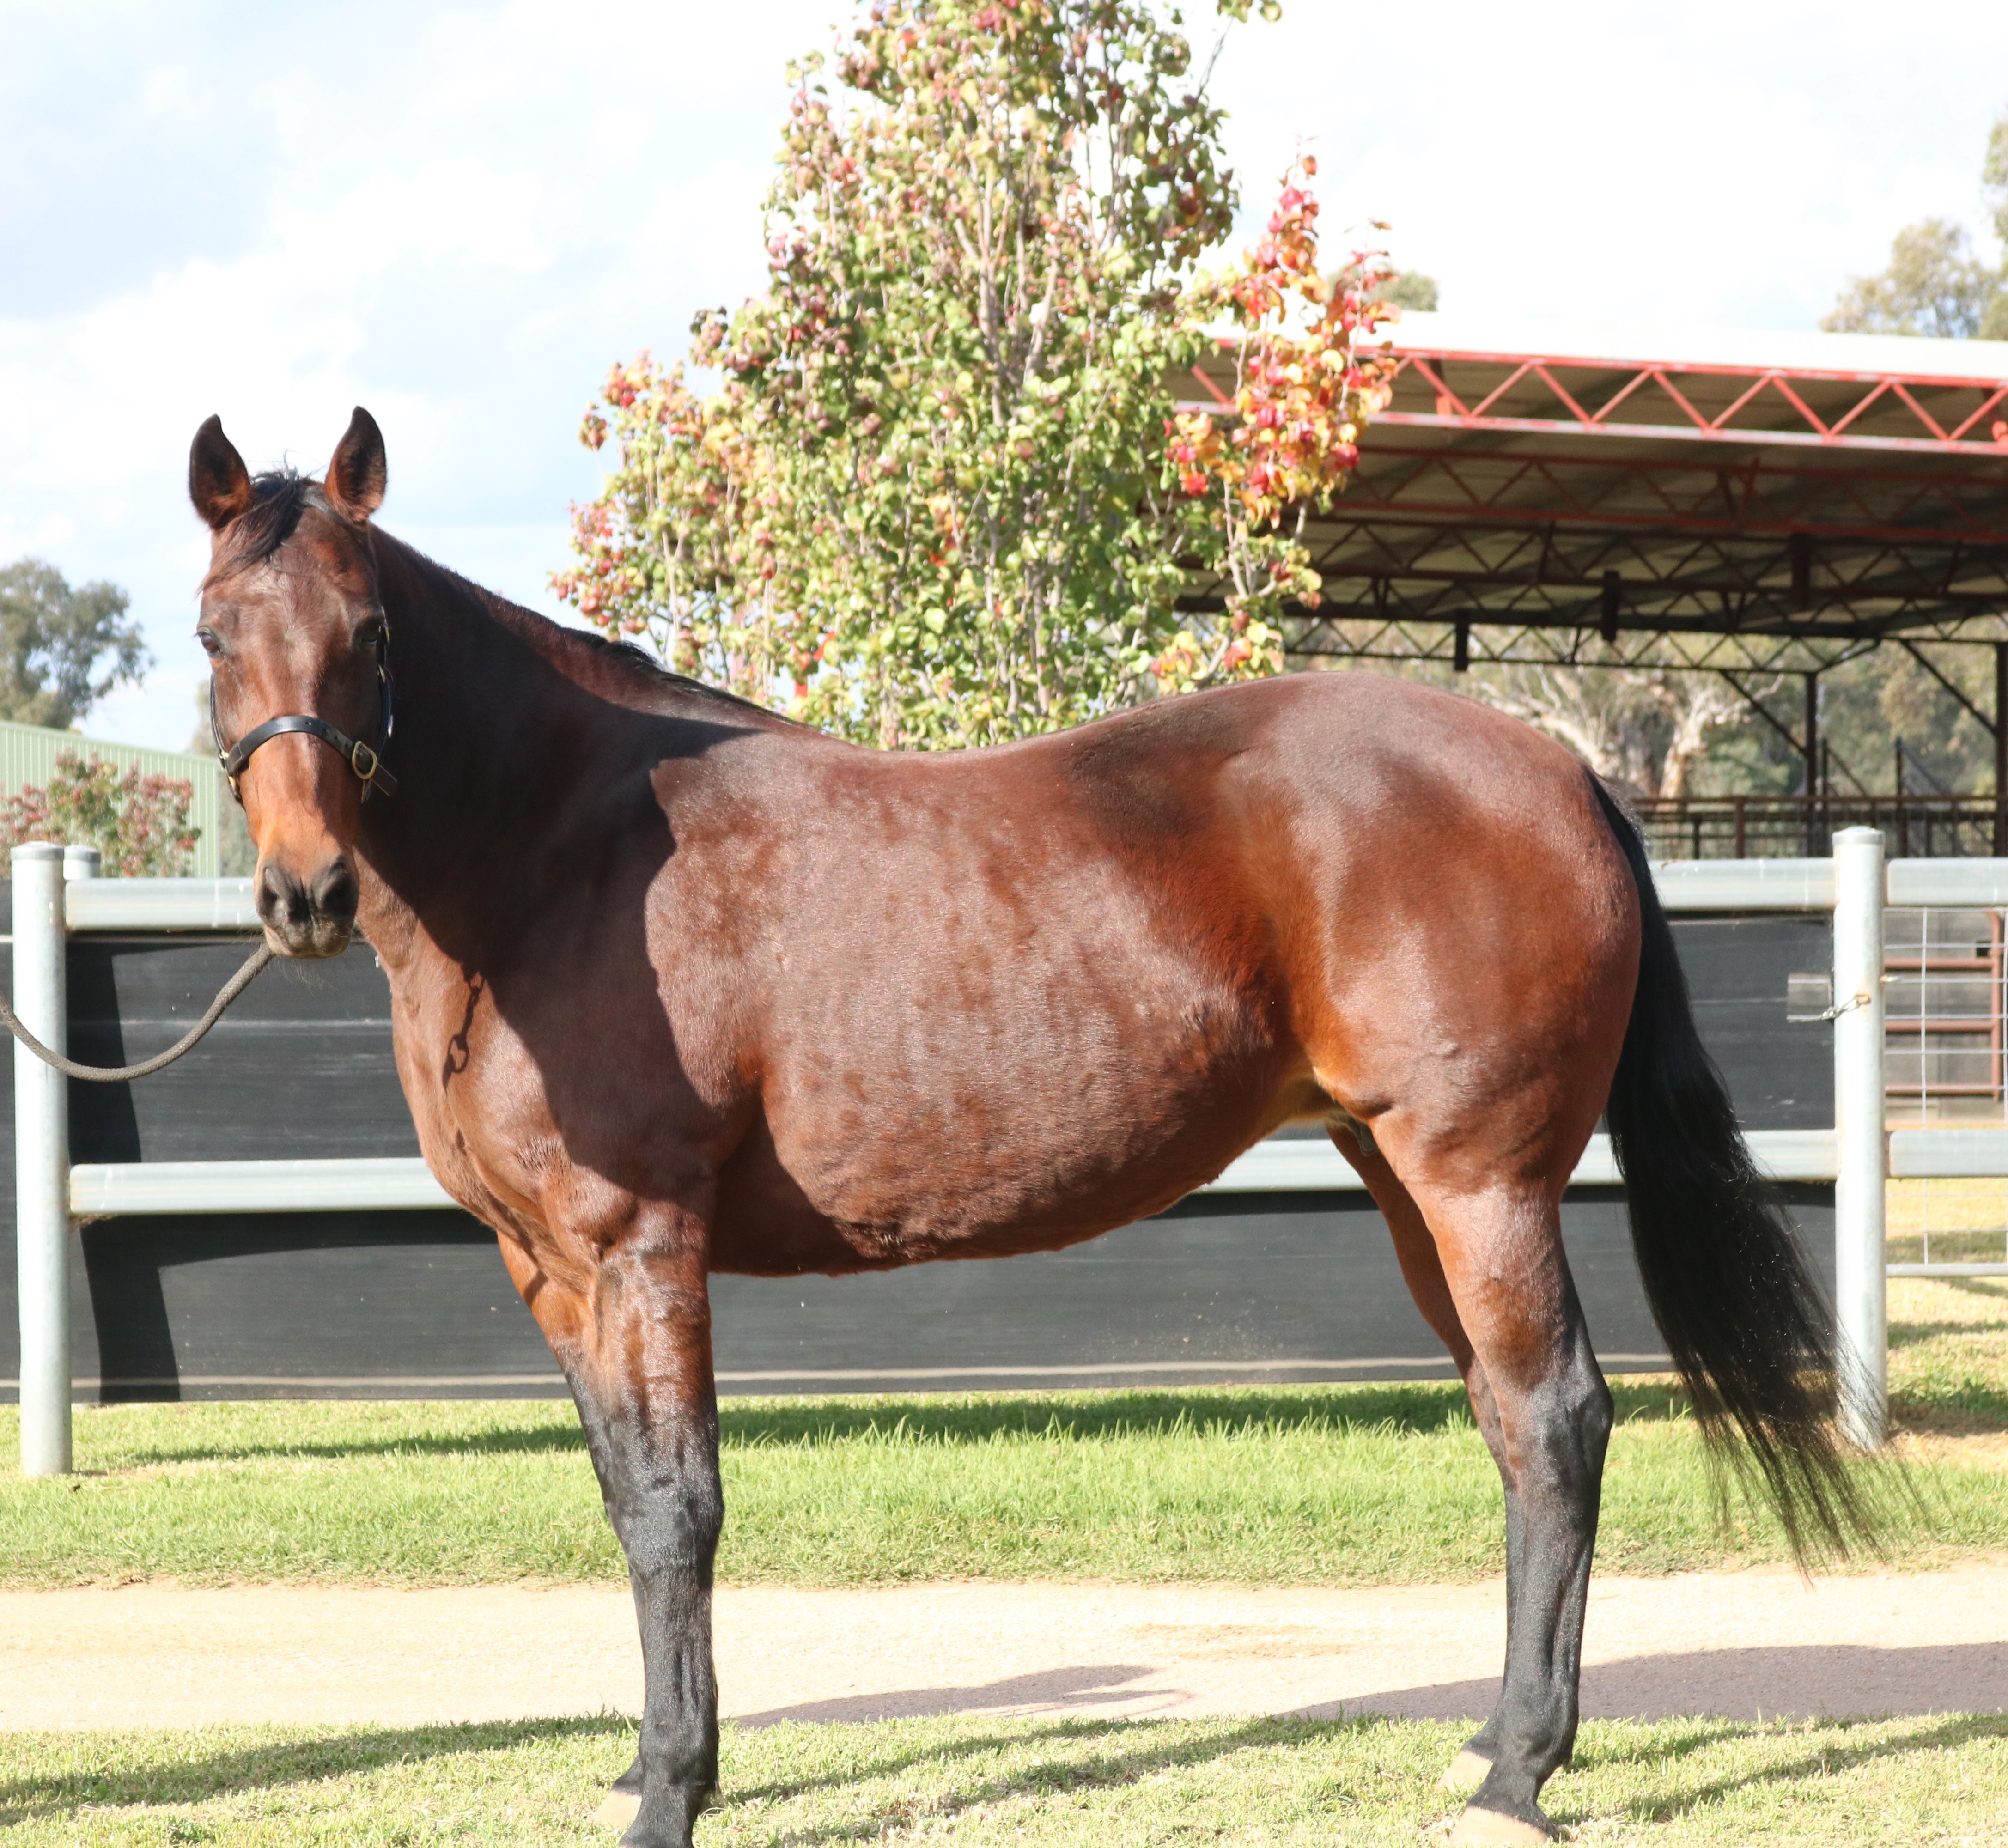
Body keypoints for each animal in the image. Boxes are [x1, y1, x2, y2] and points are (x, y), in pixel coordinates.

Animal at [185, 407, 1859, 1847]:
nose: (306, 895)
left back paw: (1518, 1779)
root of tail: (1559, 765)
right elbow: (621, 1497)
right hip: (1405, 1188)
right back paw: (1496, 1744)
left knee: (1558, 1421)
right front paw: (648, 1767)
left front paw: (671, 1793)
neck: (563, 860)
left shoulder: (641, 1247)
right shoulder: (549, 1271)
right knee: (1512, 1430)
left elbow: (675, 1510)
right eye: (212, 634)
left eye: (371, 636)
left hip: (1480, 1184)